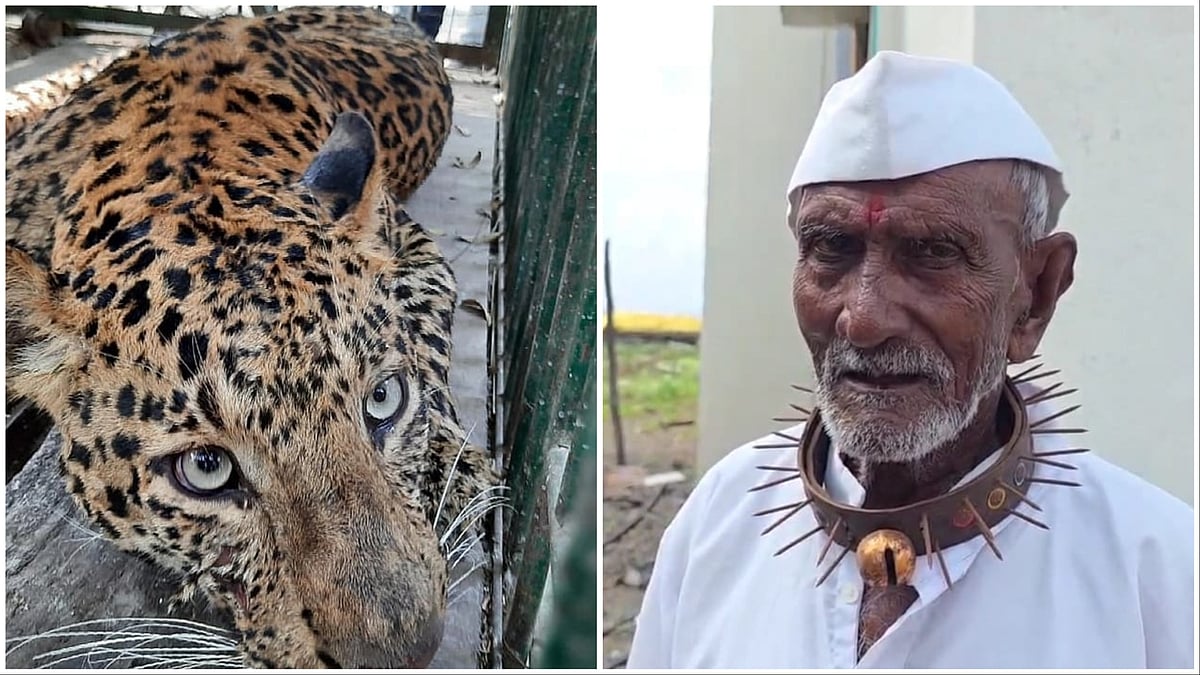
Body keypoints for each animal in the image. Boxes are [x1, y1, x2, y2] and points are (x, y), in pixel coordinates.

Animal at [5, 6, 498, 669]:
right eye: (206, 468)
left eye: (384, 400)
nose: (410, 652)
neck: (189, 159)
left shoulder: (416, 250)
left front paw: (451, 468)